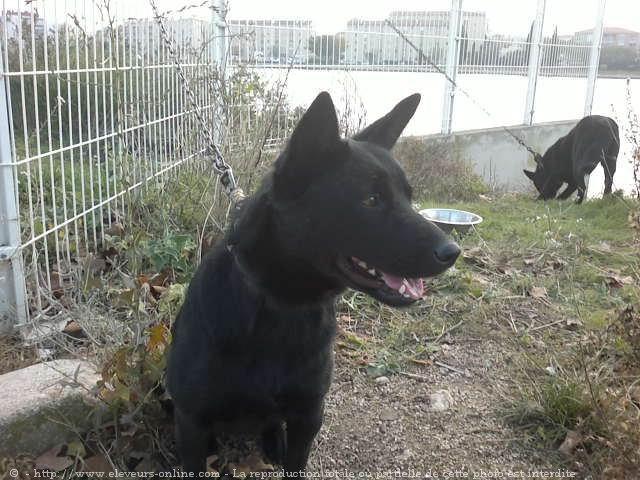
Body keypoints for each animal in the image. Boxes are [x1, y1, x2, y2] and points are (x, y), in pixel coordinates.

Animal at [166, 92, 460, 474]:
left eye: (409, 197)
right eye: (371, 199)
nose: (452, 252)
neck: (282, 306)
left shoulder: (308, 416)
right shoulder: (191, 422)